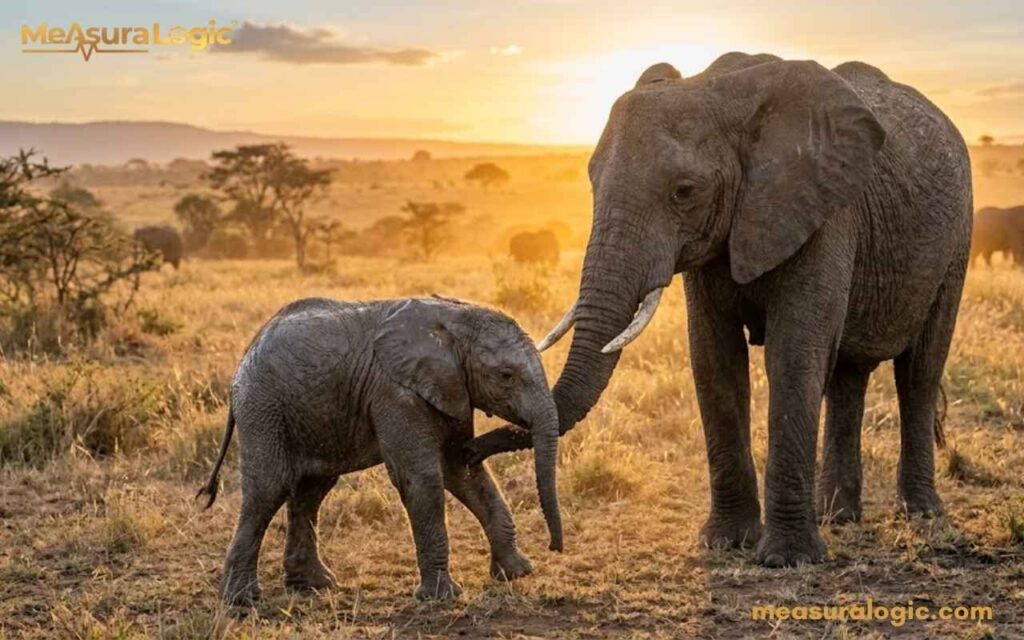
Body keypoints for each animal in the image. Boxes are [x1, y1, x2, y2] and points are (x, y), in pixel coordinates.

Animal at [198, 296, 562, 605]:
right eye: (506, 375)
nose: (554, 548)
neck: (455, 319)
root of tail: (245, 358)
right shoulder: (396, 393)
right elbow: (423, 477)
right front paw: (442, 597)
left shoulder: (451, 388)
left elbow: (462, 473)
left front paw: (517, 573)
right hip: (264, 408)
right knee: (269, 489)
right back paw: (241, 600)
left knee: (310, 492)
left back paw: (315, 585)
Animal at [466, 52, 972, 568]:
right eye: (590, 179)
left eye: (684, 191)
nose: (469, 448)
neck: (722, 92)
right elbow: (713, 359)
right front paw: (726, 541)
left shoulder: (825, 213)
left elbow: (794, 355)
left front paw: (787, 559)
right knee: (847, 378)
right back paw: (836, 516)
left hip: (956, 242)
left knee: (919, 372)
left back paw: (920, 513)